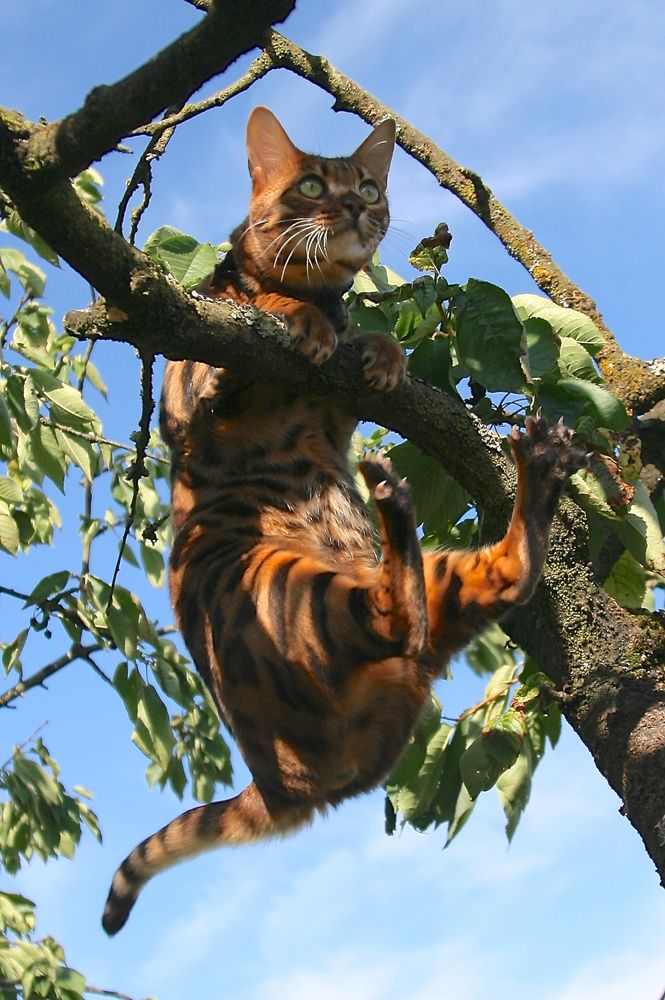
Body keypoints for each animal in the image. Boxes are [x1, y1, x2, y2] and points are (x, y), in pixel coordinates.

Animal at [100, 105, 580, 932]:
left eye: (369, 185)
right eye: (313, 186)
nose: (357, 207)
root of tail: (283, 787)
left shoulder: (340, 412)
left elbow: (370, 338)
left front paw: (379, 350)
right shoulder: (185, 383)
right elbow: (256, 321)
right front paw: (300, 323)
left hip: (419, 583)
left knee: (477, 589)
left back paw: (517, 478)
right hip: (283, 591)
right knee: (398, 614)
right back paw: (401, 497)